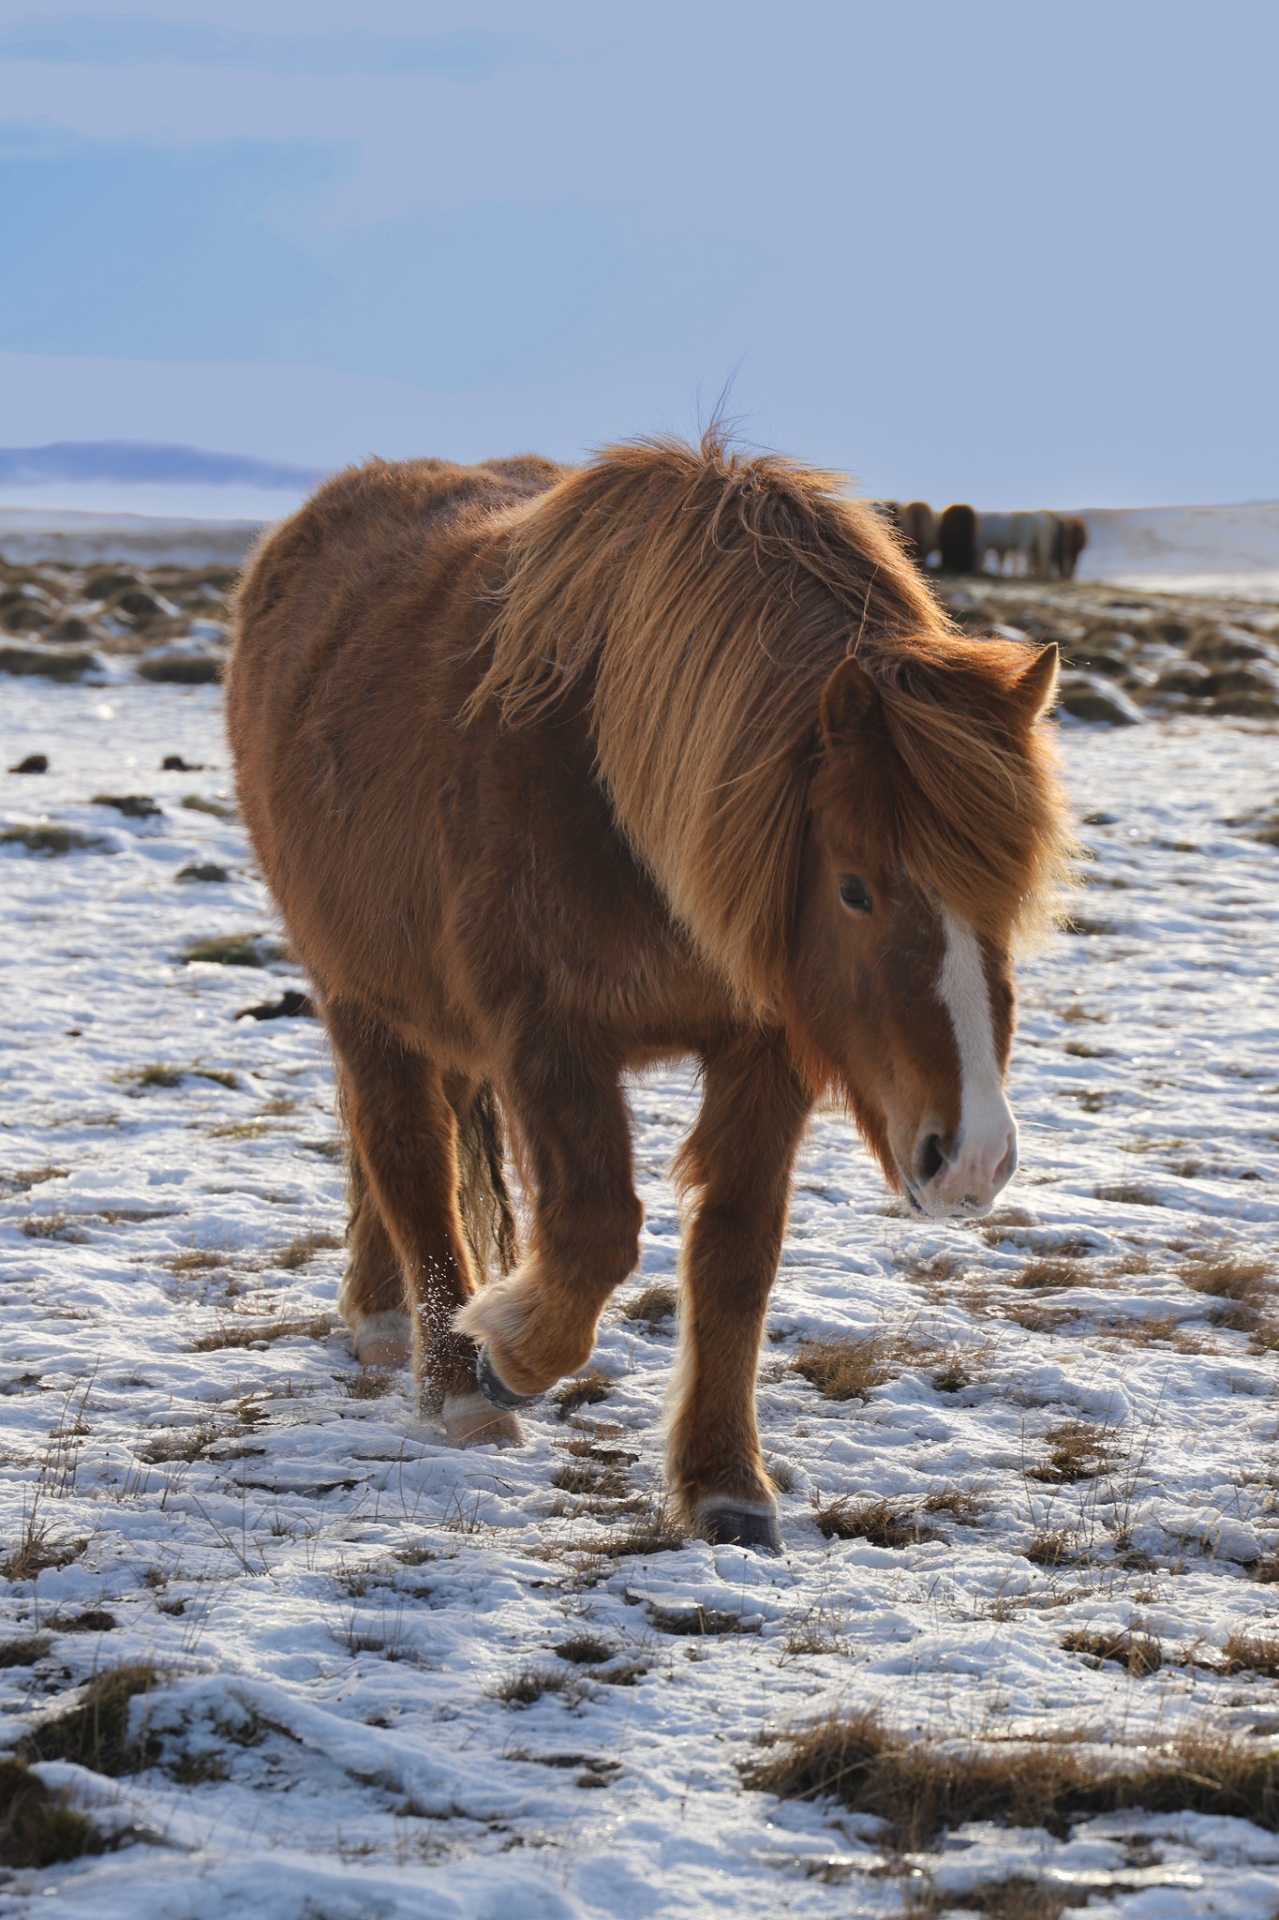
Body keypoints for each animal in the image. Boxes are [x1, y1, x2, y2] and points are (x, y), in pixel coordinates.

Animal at [227, 435, 1069, 1554]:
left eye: (1011, 891)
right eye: (855, 888)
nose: (972, 1157)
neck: (618, 793)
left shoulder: (765, 1049)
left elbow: (734, 1255)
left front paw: (724, 1484)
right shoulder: (546, 1038)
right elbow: (594, 1226)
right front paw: (510, 1354)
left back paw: (384, 1316)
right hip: (355, 990)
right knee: (403, 1150)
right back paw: (445, 1376)